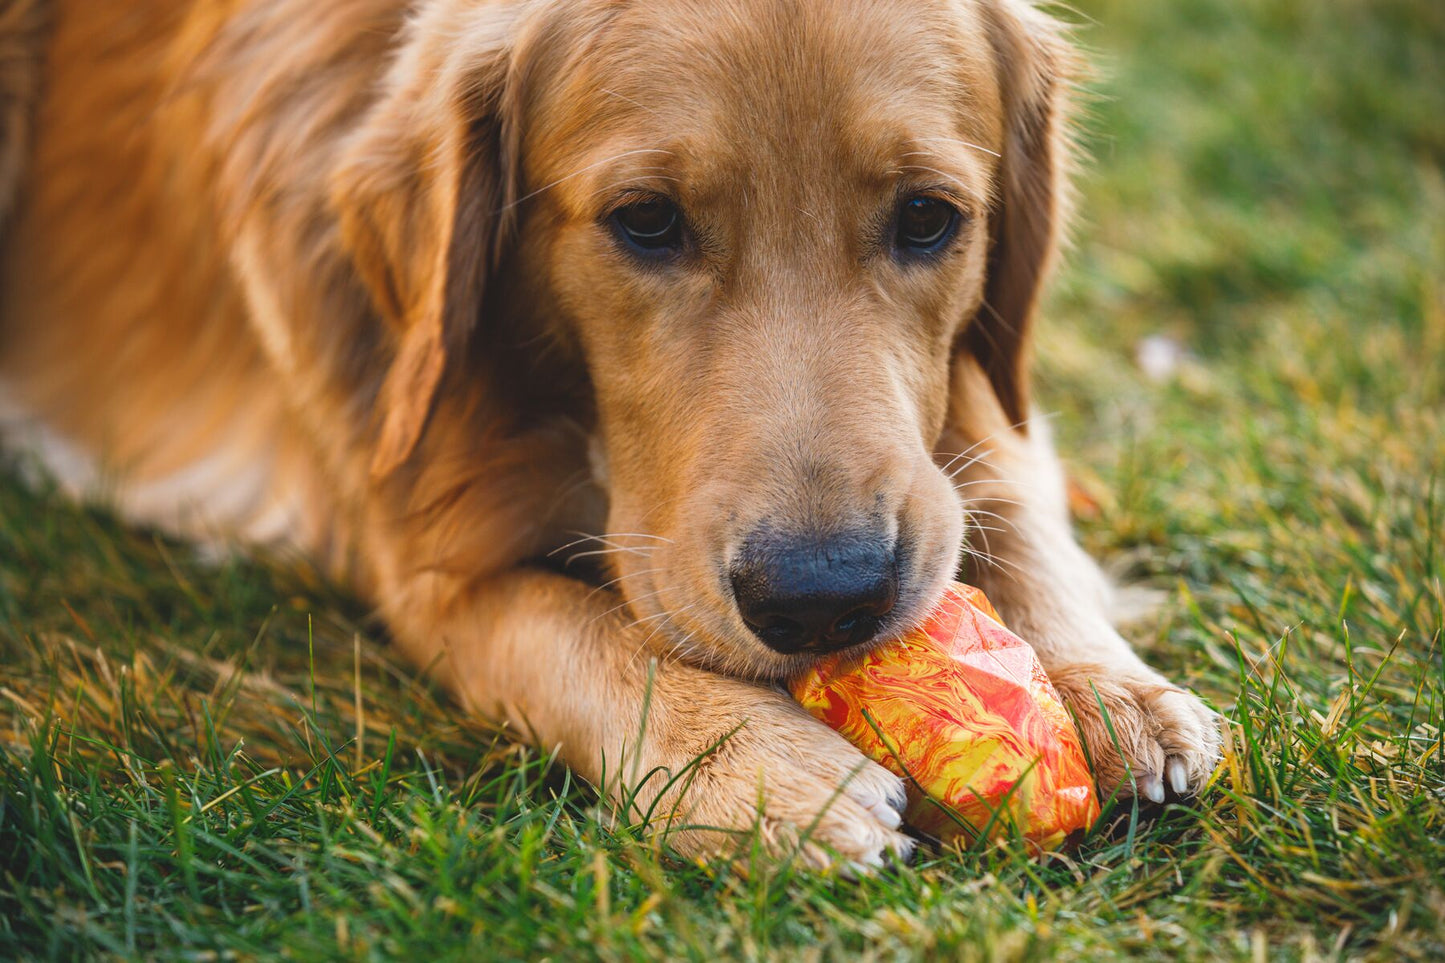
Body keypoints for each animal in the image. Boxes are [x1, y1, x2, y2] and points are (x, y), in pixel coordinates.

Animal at [0, 0, 1219, 867]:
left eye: (927, 217)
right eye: (644, 221)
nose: (822, 597)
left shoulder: (980, 410)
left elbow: (1008, 502)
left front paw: (1105, 686)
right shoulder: (415, 536)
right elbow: (577, 633)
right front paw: (752, 767)